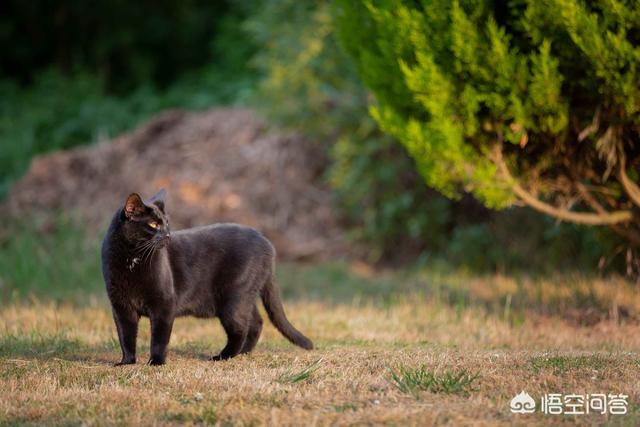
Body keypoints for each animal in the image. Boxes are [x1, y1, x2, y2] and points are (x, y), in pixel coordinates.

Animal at [101, 191, 314, 368]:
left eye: (167, 223)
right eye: (153, 224)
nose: (168, 235)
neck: (132, 259)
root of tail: (267, 242)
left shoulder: (164, 305)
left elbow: (159, 339)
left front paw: (156, 363)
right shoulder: (121, 307)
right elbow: (125, 336)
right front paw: (126, 362)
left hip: (234, 298)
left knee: (240, 329)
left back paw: (223, 356)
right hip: (243, 296)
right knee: (256, 322)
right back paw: (243, 353)